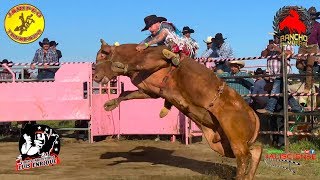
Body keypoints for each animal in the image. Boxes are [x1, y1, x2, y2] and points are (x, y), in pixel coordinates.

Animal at [92, 38, 262, 179]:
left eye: (102, 55)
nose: (94, 76)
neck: (135, 53)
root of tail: (252, 113)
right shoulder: (148, 92)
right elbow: (125, 94)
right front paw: (110, 104)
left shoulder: (156, 60)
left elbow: (140, 64)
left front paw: (119, 66)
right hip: (224, 143)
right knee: (256, 150)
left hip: (234, 136)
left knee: (244, 157)